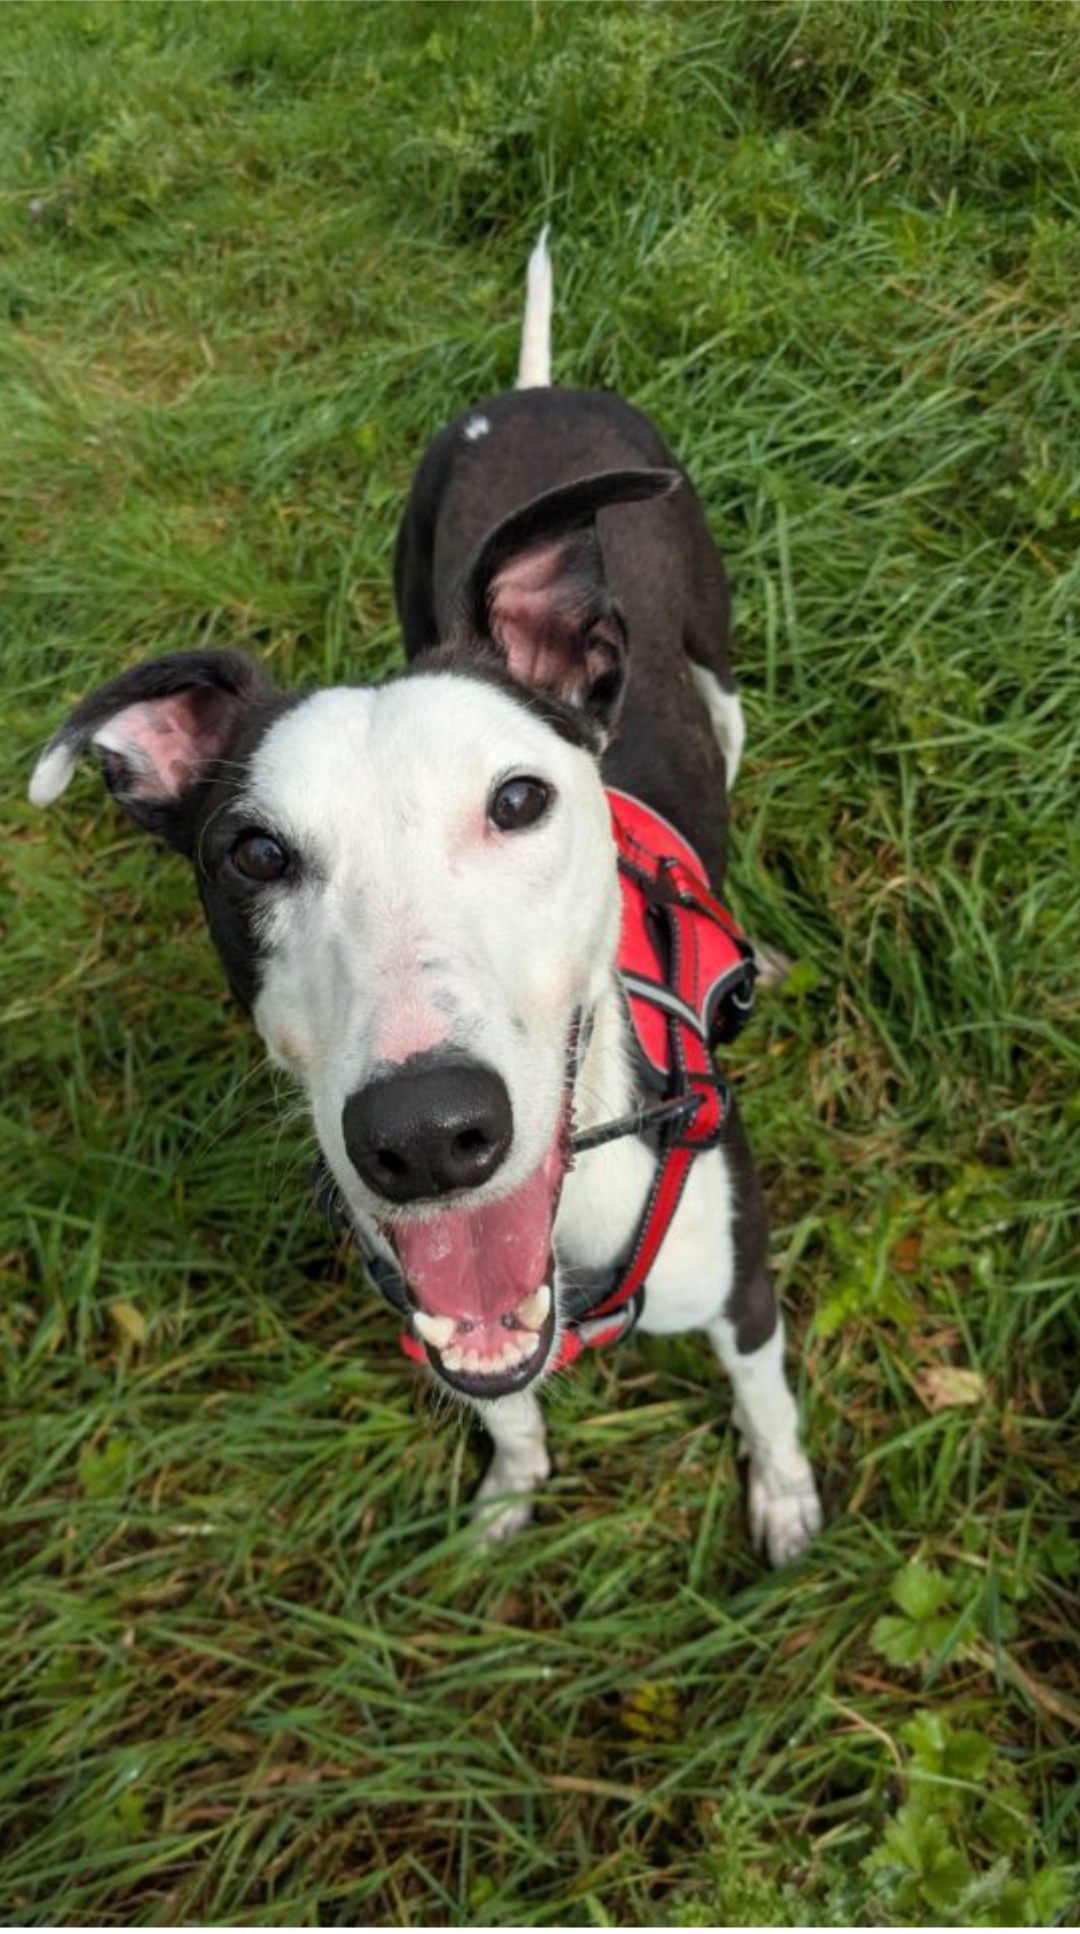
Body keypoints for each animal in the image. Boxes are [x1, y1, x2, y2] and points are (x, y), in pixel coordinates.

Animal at [30, 233, 821, 1564]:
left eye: (519, 799)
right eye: (254, 854)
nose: (426, 1134)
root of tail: (536, 391)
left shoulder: (744, 1285)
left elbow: (764, 1396)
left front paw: (783, 1493)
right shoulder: (444, 1319)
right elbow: (503, 1404)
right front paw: (510, 1492)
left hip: (710, 647)